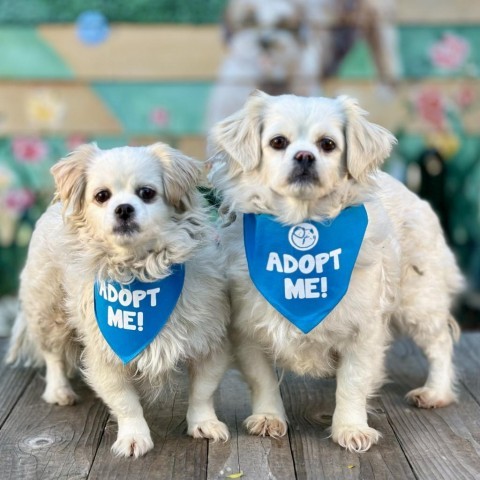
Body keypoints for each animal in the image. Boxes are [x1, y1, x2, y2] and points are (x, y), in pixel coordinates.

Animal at [6, 142, 232, 458]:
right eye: (102, 196)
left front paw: (204, 424)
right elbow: (126, 403)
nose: (124, 208)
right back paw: (59, 391)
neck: (140, 271)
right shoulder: (106, 354)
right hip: (48, 312)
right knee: (53, 356)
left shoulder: (209, 343)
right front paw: (134, 437)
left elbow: (202, 392)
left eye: (147, 193)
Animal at [208, 93, 464, 454]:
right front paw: (269, 418)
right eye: (277, 142)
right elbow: (262, 380)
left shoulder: (363, 330)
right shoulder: (248, 330)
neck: (302, 224)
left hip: (419, 302)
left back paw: (435, 393)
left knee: (440, 344)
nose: (304, 156)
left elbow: (353, 382)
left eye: (327, 144)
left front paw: (350, 428)